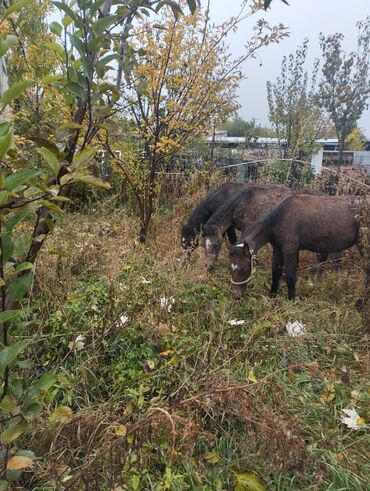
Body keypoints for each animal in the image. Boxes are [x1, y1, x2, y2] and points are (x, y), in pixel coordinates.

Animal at [227, 195, 362, 300]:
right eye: (230, 268)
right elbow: (276, 272)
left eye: (245, 269)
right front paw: (272, 295)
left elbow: (290, 276)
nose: (236, 296)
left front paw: (291, 300)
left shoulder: (290, 250)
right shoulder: (278, 249)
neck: (280, 219)